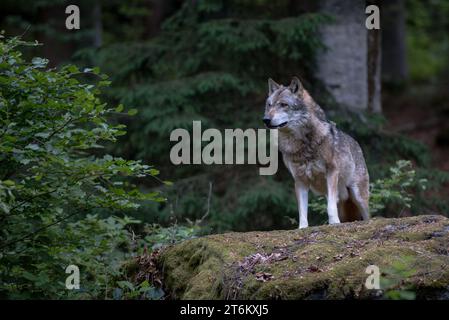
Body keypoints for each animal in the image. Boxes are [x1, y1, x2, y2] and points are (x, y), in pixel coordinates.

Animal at [262, 77, 368, 228]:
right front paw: (302, 228)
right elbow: (302, 210)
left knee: (368, 216)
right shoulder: (300, 180)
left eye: (283, 104)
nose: (265, 119)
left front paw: (334, 223)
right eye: (269, 105)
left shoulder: (332, 172)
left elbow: (330, 207)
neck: (301, 144)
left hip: (358, 196)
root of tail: (356, 144)